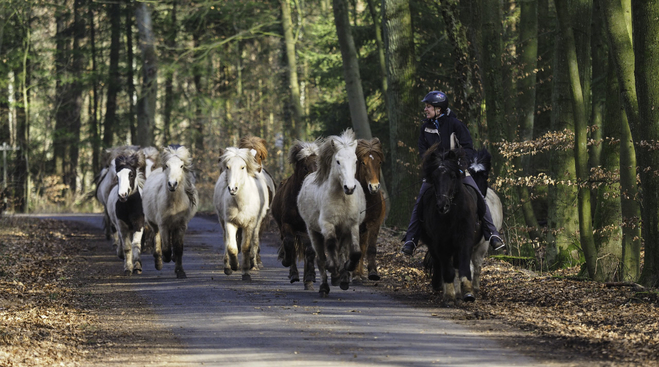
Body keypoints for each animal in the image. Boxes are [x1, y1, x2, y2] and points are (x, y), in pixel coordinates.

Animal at [143, 145, 197, 280]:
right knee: (157, 238)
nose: (172, 184)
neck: (174, 204)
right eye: (167, 165)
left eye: (181, 166)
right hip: (154, 223)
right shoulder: (163, 224)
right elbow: (166, 247)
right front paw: (166, 257)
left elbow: (179, 248)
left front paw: (180, 272)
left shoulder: (181, 225)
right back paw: (159, 262)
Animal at [215, 147, 270, 282]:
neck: (240, 202)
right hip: (222, 221)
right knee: (227, 241)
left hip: (257, 224)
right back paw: (228, 266)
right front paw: (233, 266)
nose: (232, 189)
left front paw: (246, 273)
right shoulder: (230, 223)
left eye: (243, 167)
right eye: (227, 167)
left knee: (253, 241)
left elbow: (246, 247)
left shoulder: (249, 225)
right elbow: (231, 247)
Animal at [272, 140, 320, 290]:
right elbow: (289, 243)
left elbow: (310, 250)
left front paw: (309, 277)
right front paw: (287, 264)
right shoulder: (287, 224)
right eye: (305, 167)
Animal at [298, 128, 366, 298]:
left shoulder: (352, 225)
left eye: (355, 161)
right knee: (321, 257)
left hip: (343, 232)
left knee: (342, 251)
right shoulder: (327, 225)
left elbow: (355, 252)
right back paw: (325, 286)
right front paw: (333, 272)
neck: (341, 198)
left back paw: (343, 278)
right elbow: (329, 247)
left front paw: (346, 269)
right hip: (313, 232)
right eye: (338, 161)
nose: (349, 188)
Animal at [418, 143, 484, 304]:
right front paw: (449, 295)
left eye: (453, 176)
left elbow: (464, 265)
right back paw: (439, 285)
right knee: (438, 262)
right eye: (434, 178)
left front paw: (468, 292)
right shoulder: (441, 242)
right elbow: (446, 268)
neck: (452, 215)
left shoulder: (465, 239)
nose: (443, 206)